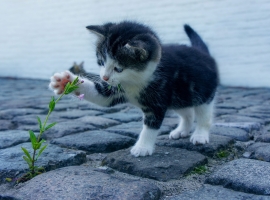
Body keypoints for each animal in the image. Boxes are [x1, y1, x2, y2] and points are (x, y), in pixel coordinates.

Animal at [49, 21, 219, 157]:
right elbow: (100, 96)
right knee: (187, 112)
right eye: (101, 62)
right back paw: (182, 130)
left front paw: (142, 147)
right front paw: (66, 81)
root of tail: (203, 53)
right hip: (180, 96)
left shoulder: (158, 98)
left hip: (203, 93)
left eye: (118, 68)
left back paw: (200, 135)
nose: (104, 77)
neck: (135, 81)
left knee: (204, 115)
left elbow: (151, 125)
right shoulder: (115, 90)